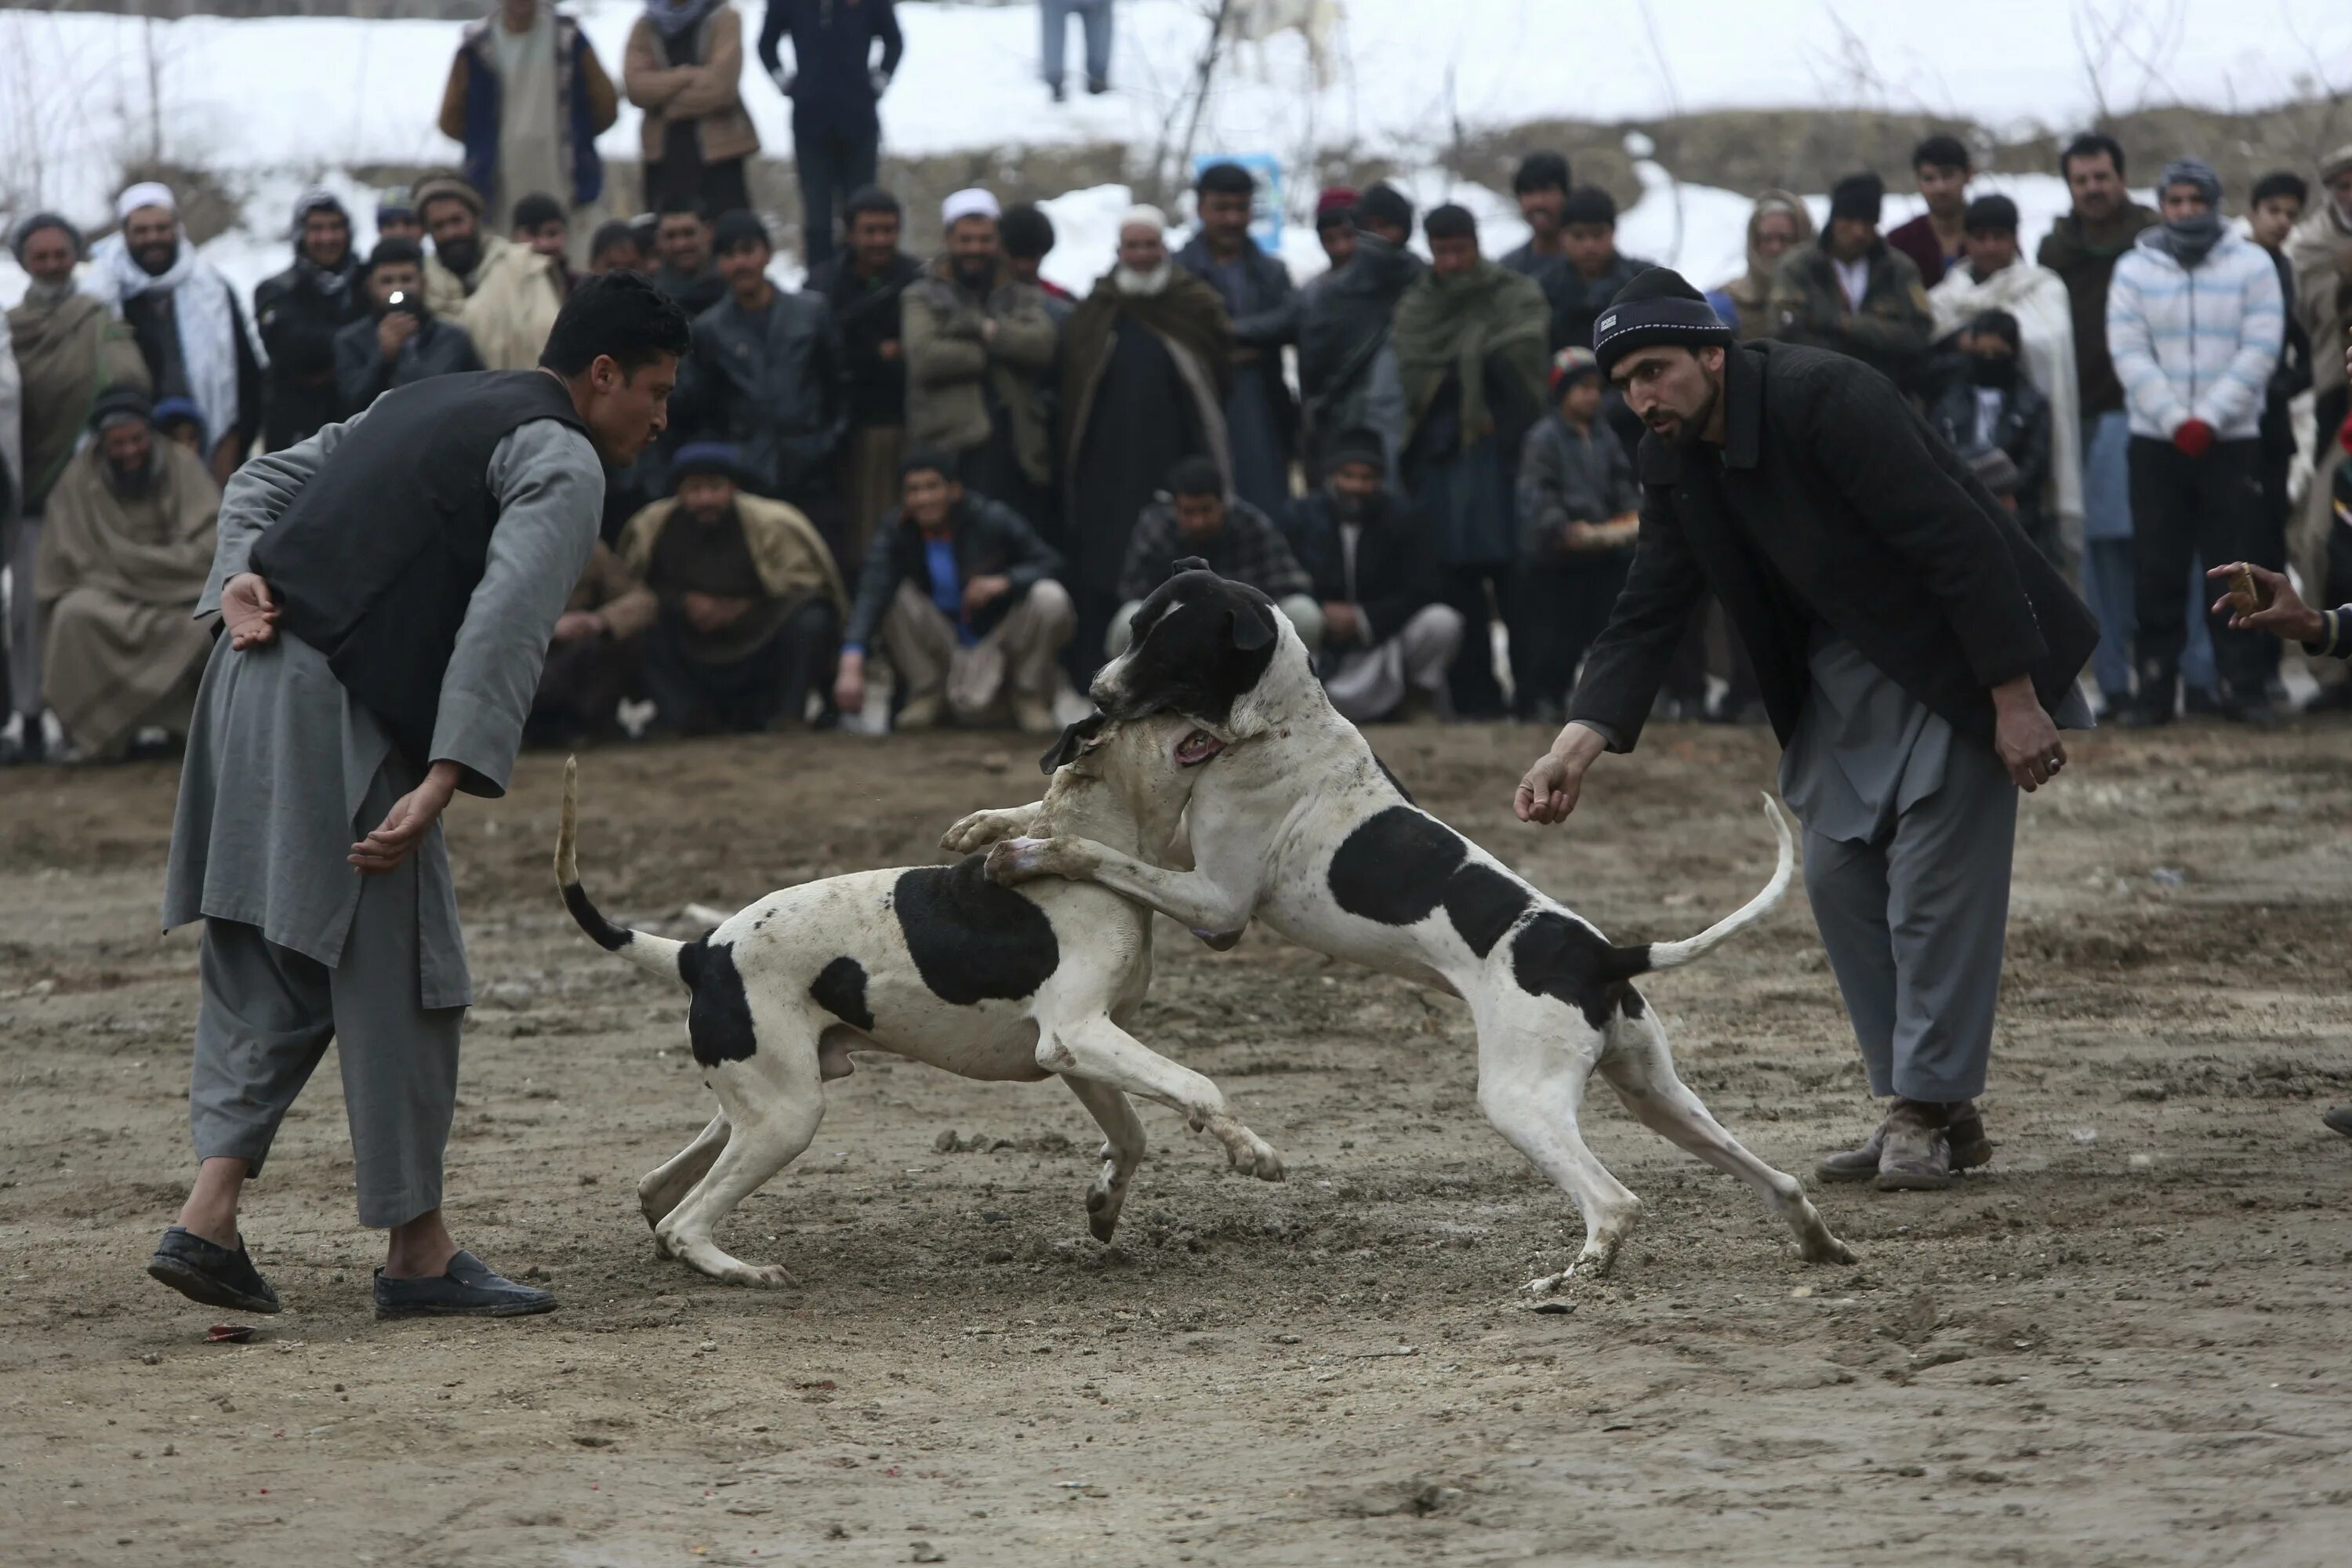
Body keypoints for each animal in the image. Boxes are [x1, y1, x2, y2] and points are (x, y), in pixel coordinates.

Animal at [555, 719, 1289, 1298]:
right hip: (790, 1117)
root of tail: (698, 952)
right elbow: (1200, 1086)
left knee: (661, 1189)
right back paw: (742, 1271)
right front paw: (1252, 1152)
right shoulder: (1077, 1035)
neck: (1077, 861)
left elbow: (1132, 1135)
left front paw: (1105, 1203)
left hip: (763, 1097)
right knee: (686, 1222)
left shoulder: (1081, 1051)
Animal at [974, 571, 1853, 1298]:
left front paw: (1026, 853)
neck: (1274, 725)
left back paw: (1574, 1276)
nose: (1095, 688)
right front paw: (984, 822)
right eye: (1134, 627)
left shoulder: (1215, 906)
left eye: (1168, 646)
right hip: (1658, 1096)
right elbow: (1051, 815)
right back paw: (1819, 1245)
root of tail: (1600, 952)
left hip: (1521, 1100)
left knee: (1616, 1201)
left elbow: (1093, 848)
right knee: (1777, 1178)